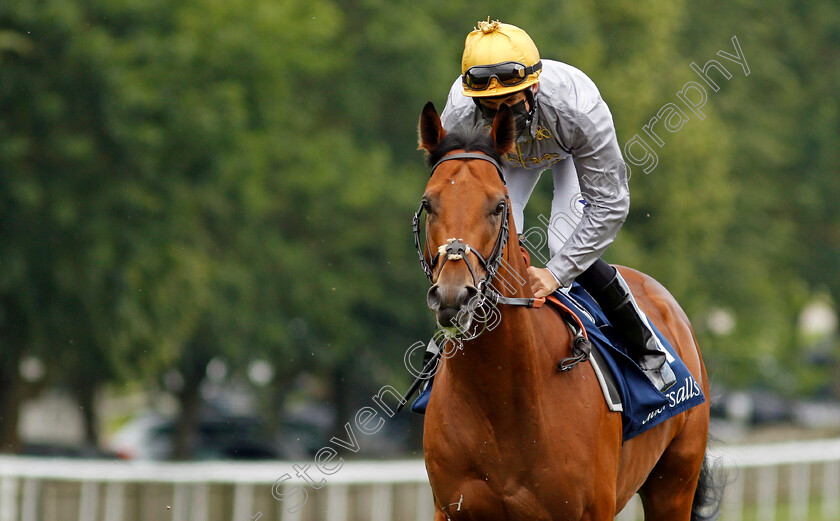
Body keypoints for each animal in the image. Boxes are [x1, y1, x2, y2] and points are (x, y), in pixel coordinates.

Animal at [414, 102, 720, 520]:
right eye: (429, 204)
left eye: (498, 206)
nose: (453, 295)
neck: (500, 399)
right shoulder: (451, 509)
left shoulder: (592, 509)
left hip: (675, 482)